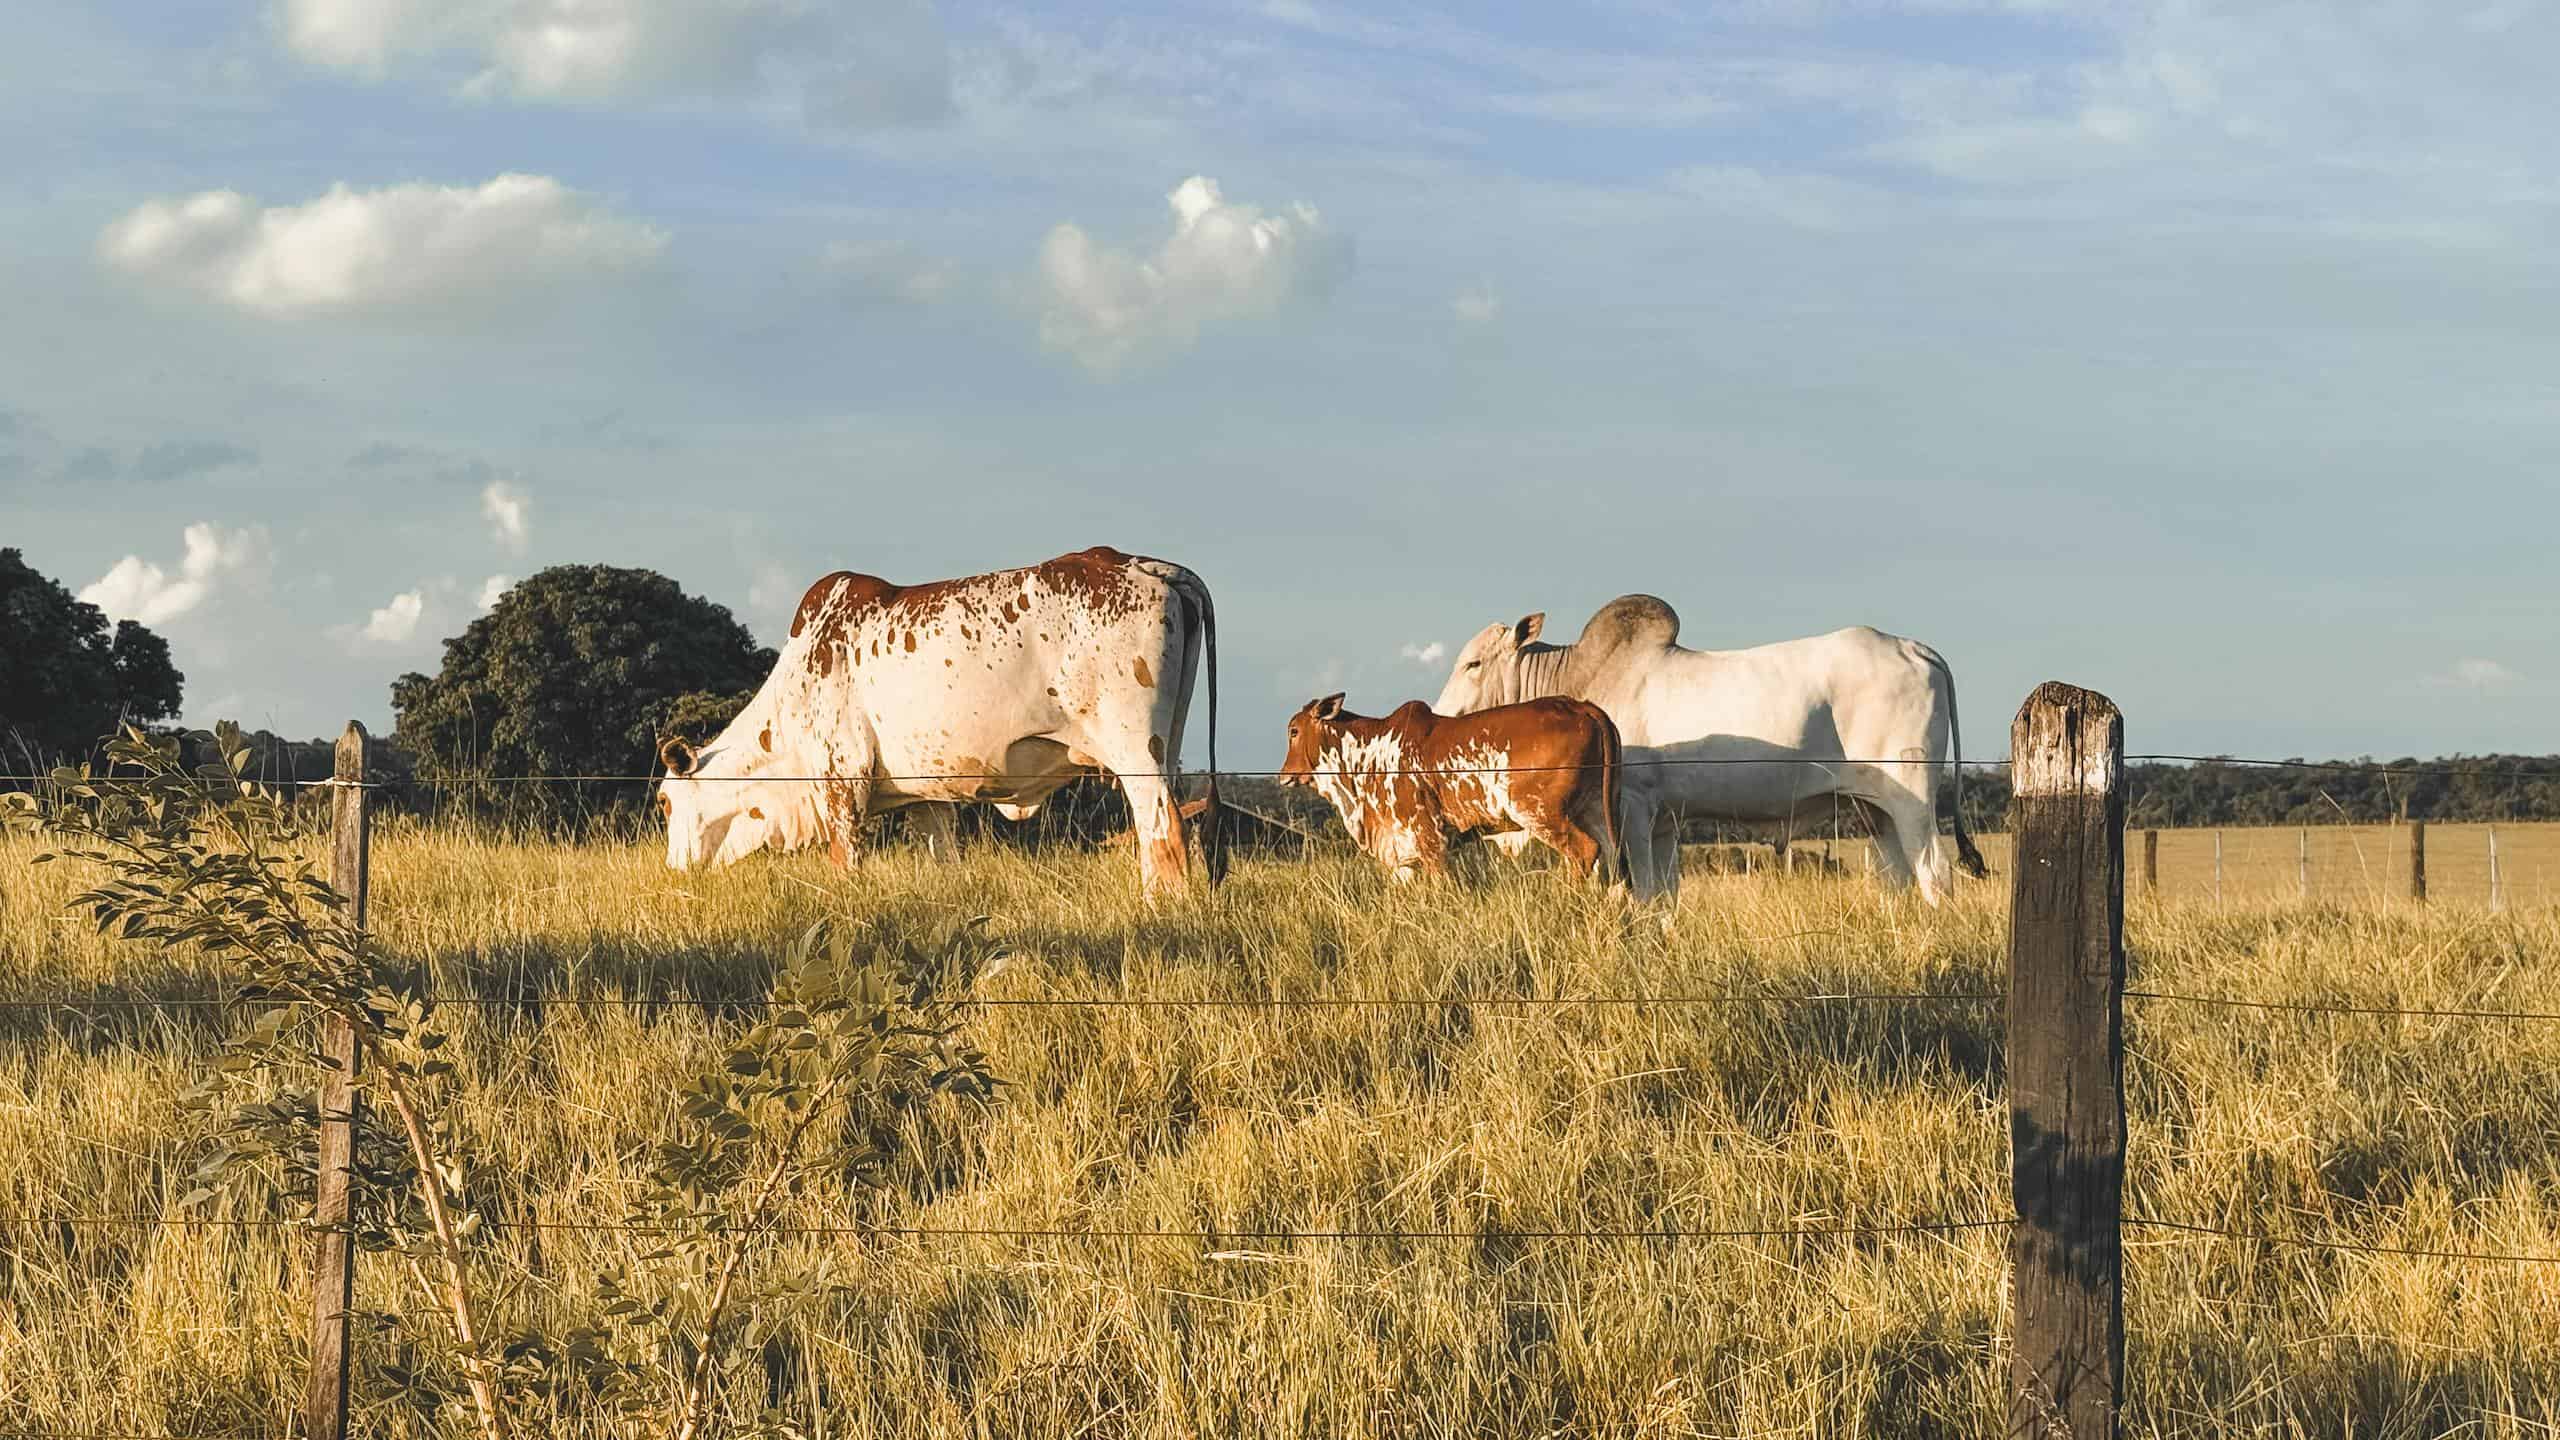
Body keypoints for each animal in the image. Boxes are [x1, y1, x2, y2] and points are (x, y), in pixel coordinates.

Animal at [657, 546, 1223, 899]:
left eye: (663, 801)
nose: (673, 871)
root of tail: (1146, 565)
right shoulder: (927, 799)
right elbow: (944, 865)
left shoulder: (842, 783)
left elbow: (846, 867)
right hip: (1167, 747)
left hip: (1136, 753)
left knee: (1164, 831)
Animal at [1276, 693, 1633, 891]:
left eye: (1293, 731)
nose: (1283, 776)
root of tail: (1580, 706)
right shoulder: (1402, 853)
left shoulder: (1429, 837)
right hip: (1596, 810)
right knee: (1610, 857)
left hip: (1539, 813)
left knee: (1584, 852)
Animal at [1434, 596, 1986, 905]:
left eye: (1474, 664)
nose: (1441, 714)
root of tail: (1915, 648)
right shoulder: (1663, 823)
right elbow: (1664, 898)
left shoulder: (1634, 811)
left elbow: (1641, 893)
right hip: (1876, 812)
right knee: (1899, 879)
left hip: (1912, 800)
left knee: (1935, 875)